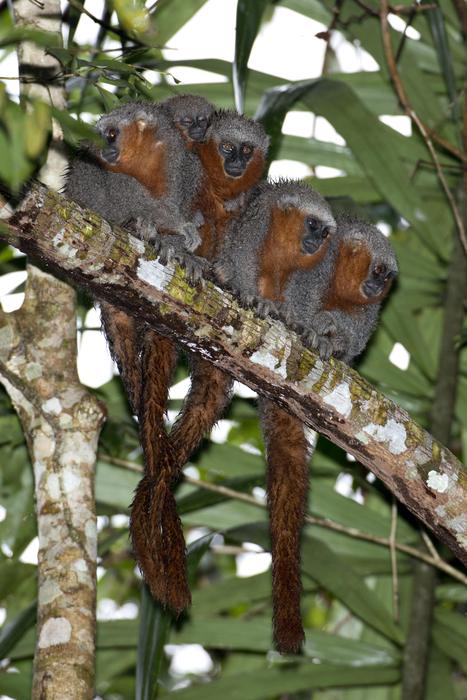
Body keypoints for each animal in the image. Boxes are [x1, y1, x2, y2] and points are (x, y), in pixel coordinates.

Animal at [214, 179, 338, 652]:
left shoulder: (314, 271)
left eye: (325, 232)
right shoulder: (255, 223)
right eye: (313, 225)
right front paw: (246, 291)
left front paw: (300, 323)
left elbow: (304, 300)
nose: (318, 241)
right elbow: (236, 259)